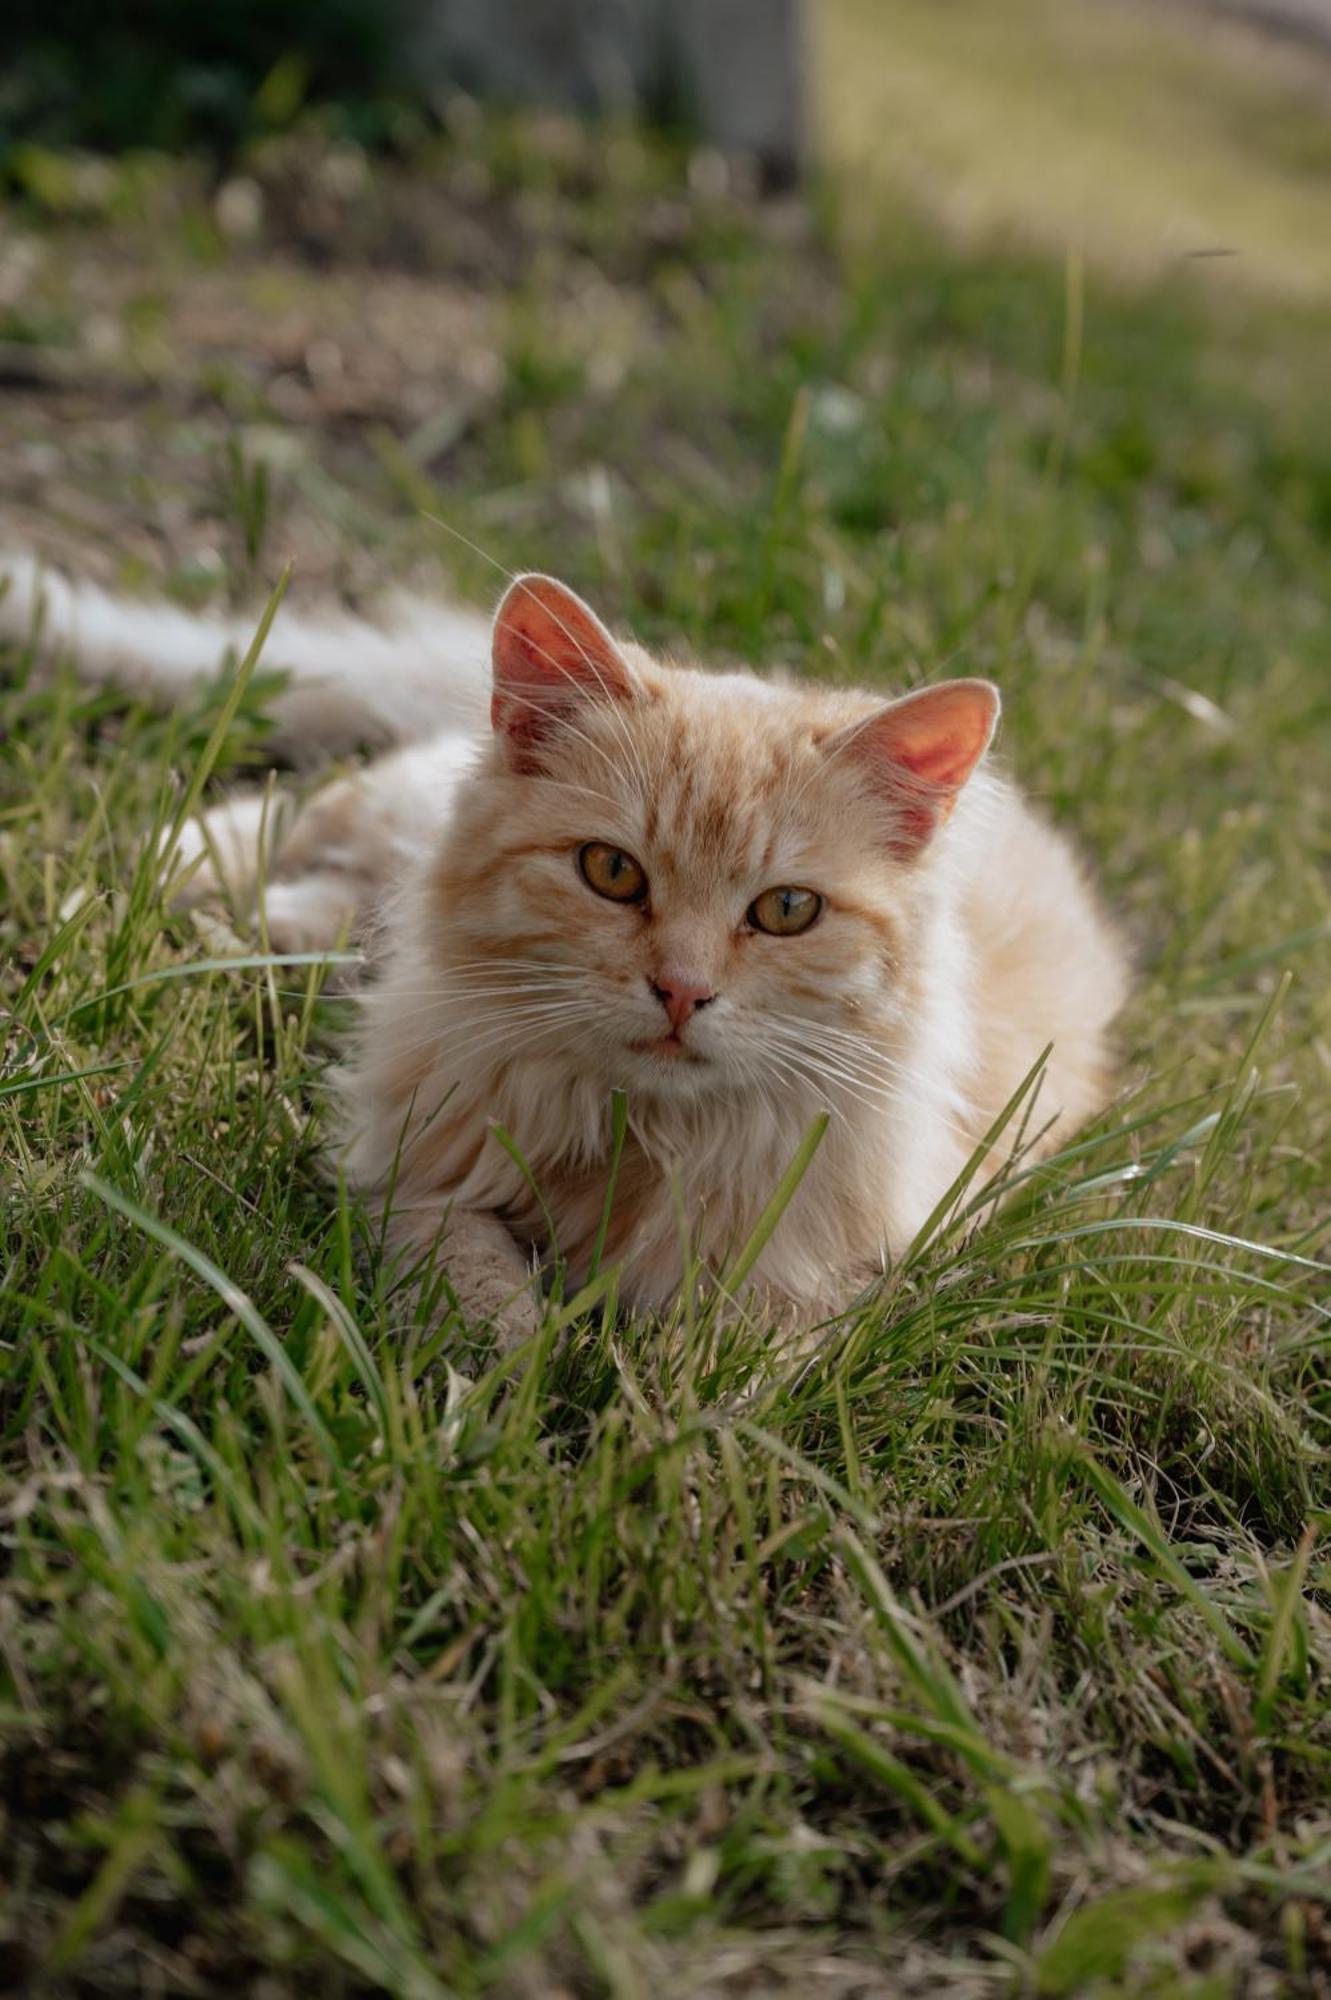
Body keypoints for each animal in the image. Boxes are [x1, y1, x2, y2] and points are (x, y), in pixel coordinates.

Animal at [0, 548, 1127, 1344]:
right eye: (611, 872)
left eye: (785, 912)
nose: (680, 991)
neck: (640, 1135)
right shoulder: (415, 1172)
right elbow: (480, 1293)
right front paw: (512, 1386)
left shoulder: (817, 1266)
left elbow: (742, 1368)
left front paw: (673, 1433)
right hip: (389, 811)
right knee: (291, 812)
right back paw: (144, 878)